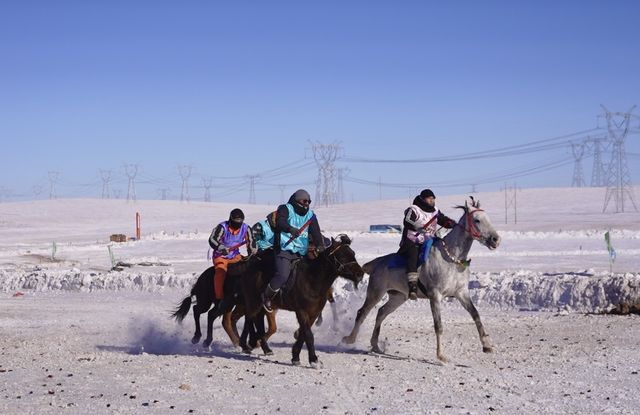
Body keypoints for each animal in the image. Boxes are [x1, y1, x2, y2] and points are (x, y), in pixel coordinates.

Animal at [241, 236, 362, 368]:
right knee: (249, 318)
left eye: (353, 253)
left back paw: (265, 347)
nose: (360, 274)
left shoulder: (314, 313)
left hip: (263, 306)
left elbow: (303, 334)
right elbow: (308, 335)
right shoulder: (301, 311)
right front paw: (314, 360)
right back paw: (248, 343)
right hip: (253, 301)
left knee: (257, 320)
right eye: (342, 255)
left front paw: (295, 356)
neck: (312, 280)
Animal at [344, 197, 500, 362]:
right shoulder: (435, 295)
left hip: (398, 297)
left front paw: (487, 345)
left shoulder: (461, 293)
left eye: (488, 218)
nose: (496, 239)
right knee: (362, 312)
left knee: (381, 312)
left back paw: (375, 345)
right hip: (375, 293)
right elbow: (438, 325)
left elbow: (476, 315)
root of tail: (376, 263)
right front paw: (441, 355)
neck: (451, 258)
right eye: (477, 220)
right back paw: (349, 339)